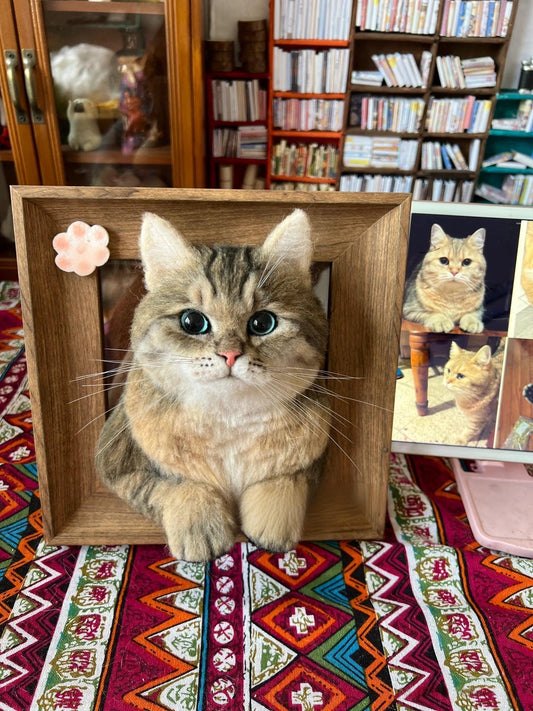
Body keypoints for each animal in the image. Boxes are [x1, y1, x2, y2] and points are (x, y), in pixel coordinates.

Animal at [95, 209, 330, 562]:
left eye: (263, 322)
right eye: (193, 322)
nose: (230, 355)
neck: (229, 420)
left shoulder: (318, 458)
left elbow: (287, 479)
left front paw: (271, 523)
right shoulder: (114, 461)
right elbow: (171, 483)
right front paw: (201, 525)